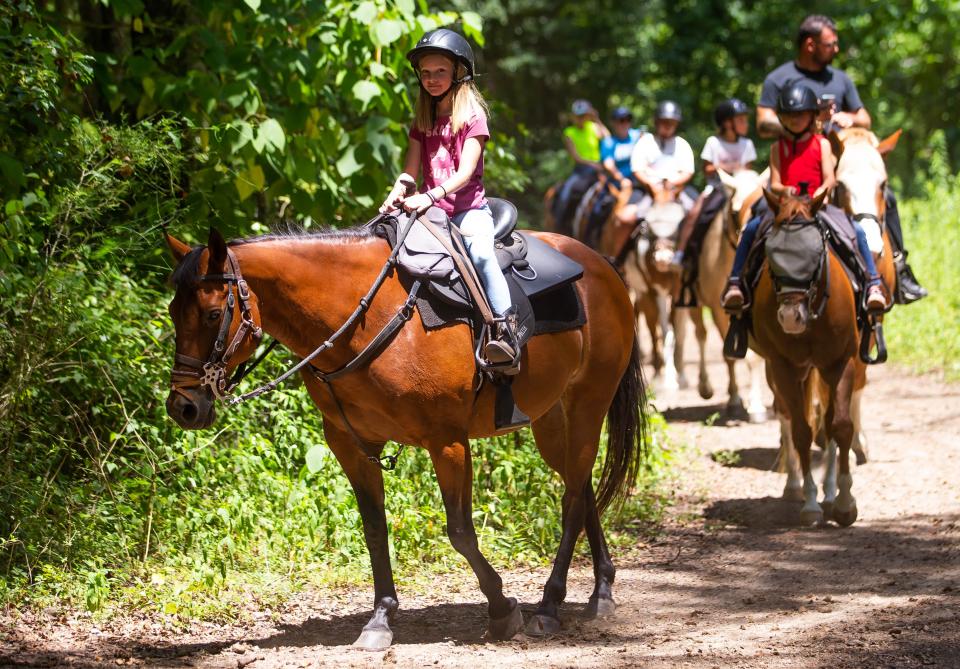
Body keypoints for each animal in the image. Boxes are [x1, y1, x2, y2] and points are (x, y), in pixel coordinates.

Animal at [165, 223, 648, 648]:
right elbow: (374, 530)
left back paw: (548, 607)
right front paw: (380, 619)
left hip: (587, 404)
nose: (182, 407)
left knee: (572, 499)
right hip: (551, 418)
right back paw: (601, 592)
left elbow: (461, 532)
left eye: (213, 314)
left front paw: (501, 609)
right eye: (172, 312)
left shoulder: (447, 442)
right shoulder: (350, 446)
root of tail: (599, 264)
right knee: (581, 487)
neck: (363, 321)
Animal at [752, 188, 868, 528]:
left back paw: (830, 493)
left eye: (816, 254)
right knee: (788, 417)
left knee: (828, 425)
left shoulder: (840, 363)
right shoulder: (784, 367)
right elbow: (802, 431)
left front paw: (844, 503)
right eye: (771, 254)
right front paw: (811, 504)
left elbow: (840, 427)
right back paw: (797, 488)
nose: (791, 317)